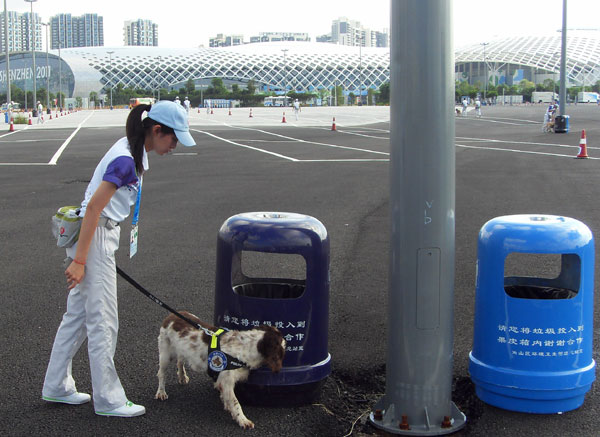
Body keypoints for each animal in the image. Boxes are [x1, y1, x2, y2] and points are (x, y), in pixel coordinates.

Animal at [155, 312, 286, 428]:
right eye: (282, 344)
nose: (287, 341)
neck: (245, 347)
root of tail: (171, 316)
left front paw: (228, 406)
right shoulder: (227, 380)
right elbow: (235, 402)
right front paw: (243, 420)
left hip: (181, 350)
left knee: (180, 361)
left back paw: (182, 377)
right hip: (166, 354)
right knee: (161, 374)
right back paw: (161, 392)